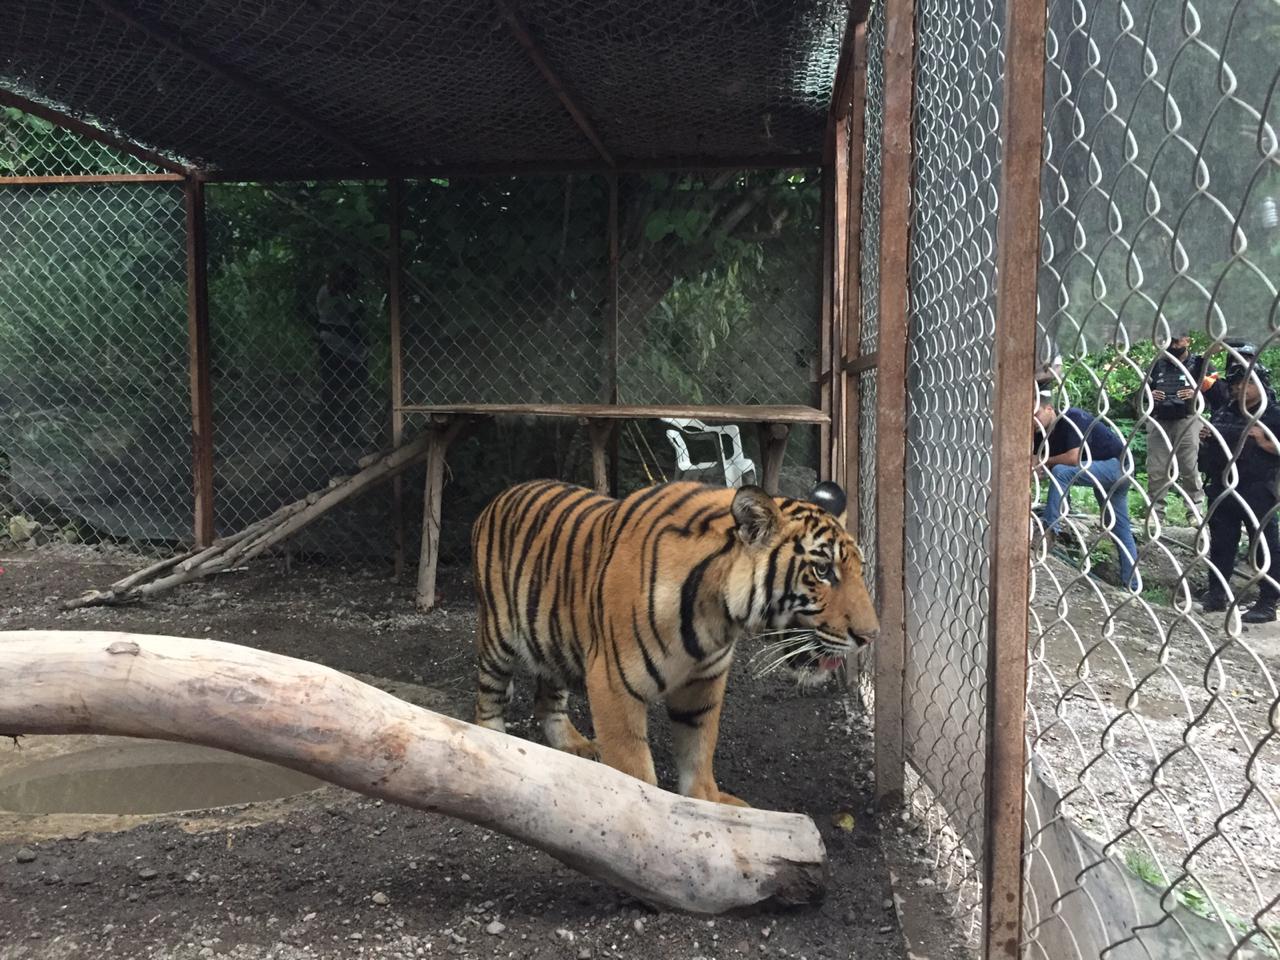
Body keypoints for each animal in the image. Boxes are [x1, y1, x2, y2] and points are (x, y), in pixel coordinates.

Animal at [471, 478, 880, 803]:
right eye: (822, 571)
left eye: (860, 570)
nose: (870, 636)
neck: (718, 616)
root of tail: (498, 497)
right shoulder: (613, 684)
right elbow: (634, 770)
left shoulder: (704, 684)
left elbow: (699, 751)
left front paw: (707, 803)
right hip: (498, 635)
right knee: (488, 698)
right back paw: (494, 742)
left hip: (551, 640)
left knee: (548, 702)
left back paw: (574, 745)